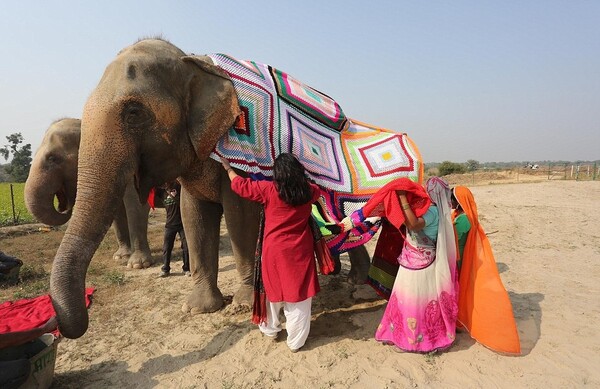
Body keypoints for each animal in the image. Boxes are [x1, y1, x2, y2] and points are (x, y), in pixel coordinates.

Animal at [24, 117, 155, 266]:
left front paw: (138, 265)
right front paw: (121, 257)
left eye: (53, 158)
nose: (65, 208)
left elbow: (136, 205)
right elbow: (117, 211)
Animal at [51, 38, 370, 338]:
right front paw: (198, 308)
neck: (195, 63)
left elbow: (240, 214)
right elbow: (193, 216)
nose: (62, 326)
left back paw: (357, 285)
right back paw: (343, 276)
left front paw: (244, 304)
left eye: (134, 112)